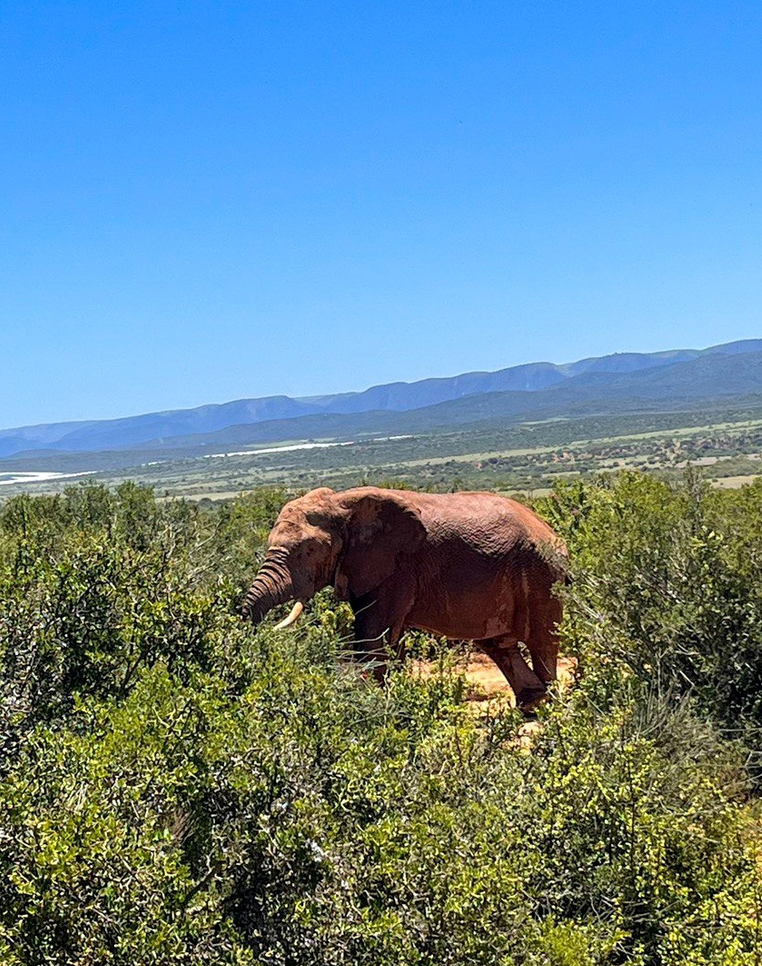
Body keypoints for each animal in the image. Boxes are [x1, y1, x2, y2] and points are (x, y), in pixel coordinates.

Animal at [242, 486, 568, 712]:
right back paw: (530, 705)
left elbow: (373, 636)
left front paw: (370, 706)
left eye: (307, 551)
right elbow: (388, 640)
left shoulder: (396, 569)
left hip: (542, 575)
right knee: (499, 645)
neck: (341, 503)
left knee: (541, 642)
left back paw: (547, 709)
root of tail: (552, 531)